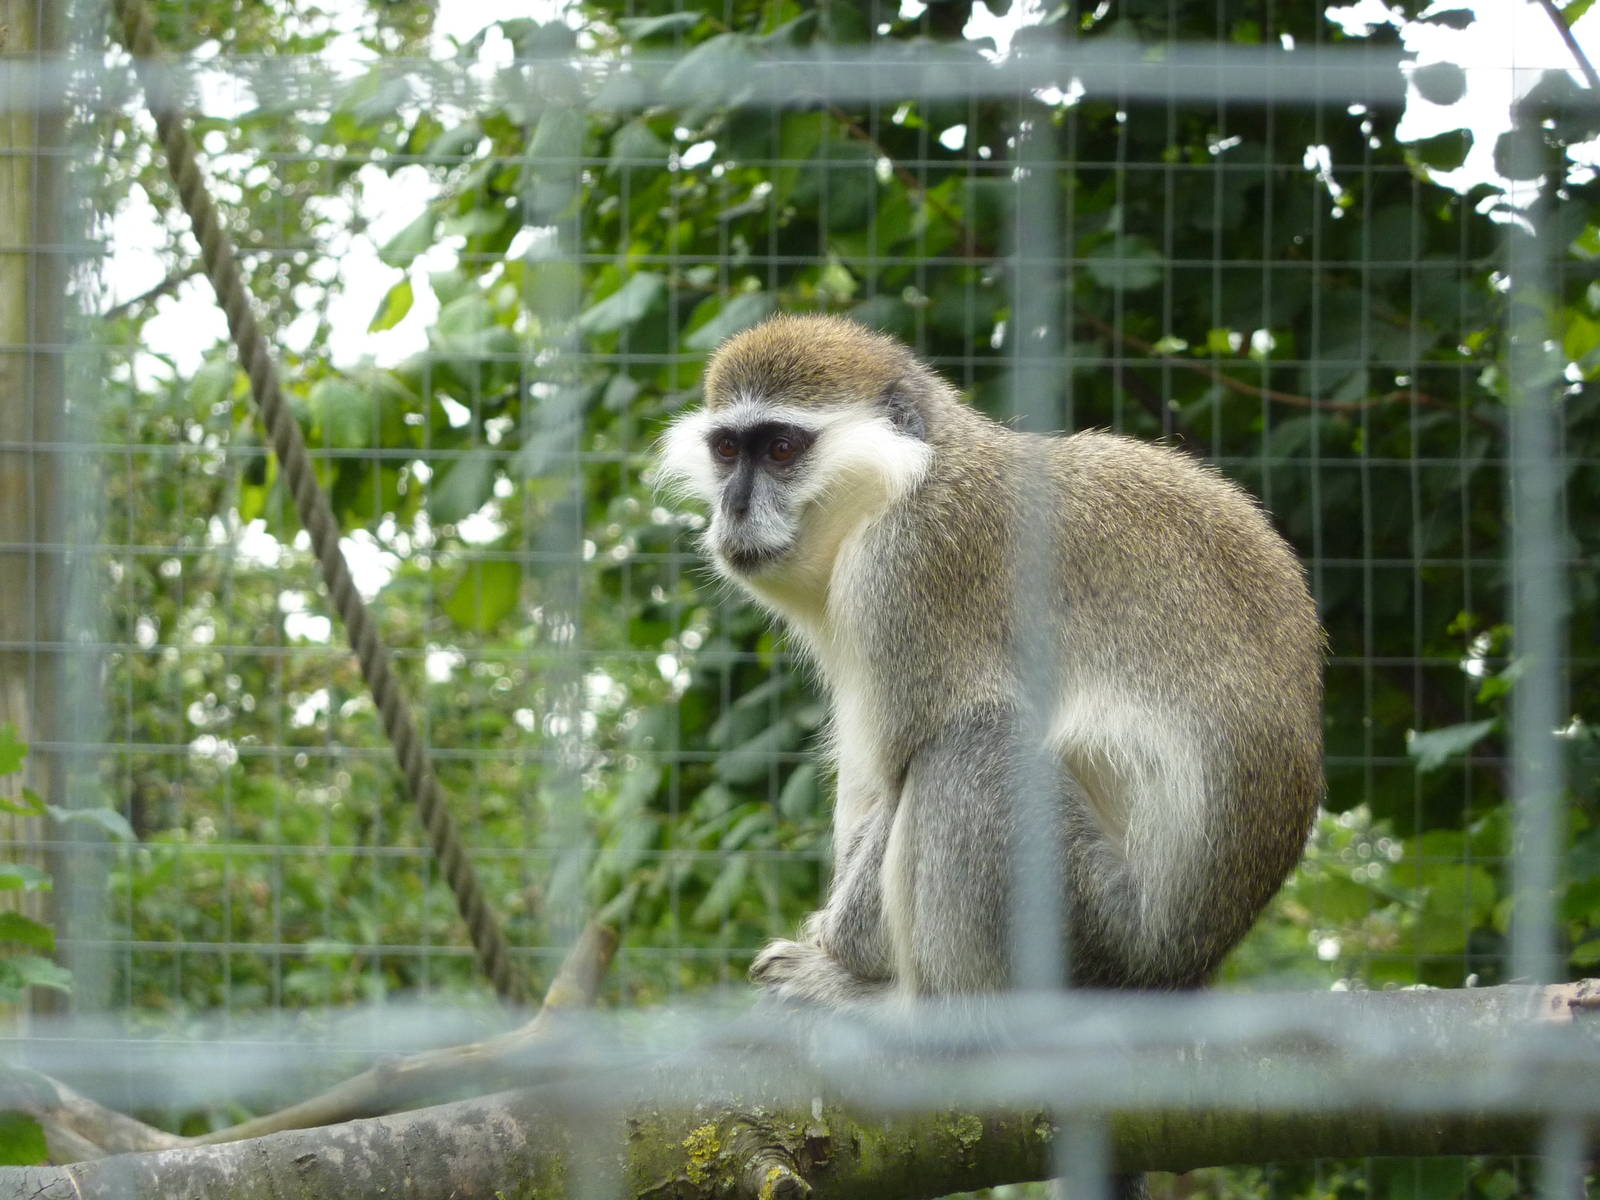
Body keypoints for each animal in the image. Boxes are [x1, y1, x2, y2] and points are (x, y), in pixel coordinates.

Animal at [656, 313, 1323, 1007]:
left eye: (782, 450)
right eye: (727, 450)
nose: (733, 509)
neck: (911, 478)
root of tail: (1175, 971)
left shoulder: (909, 567)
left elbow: (903, 763)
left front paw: (839, 945)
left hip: (1087, 939)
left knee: (974, 741)